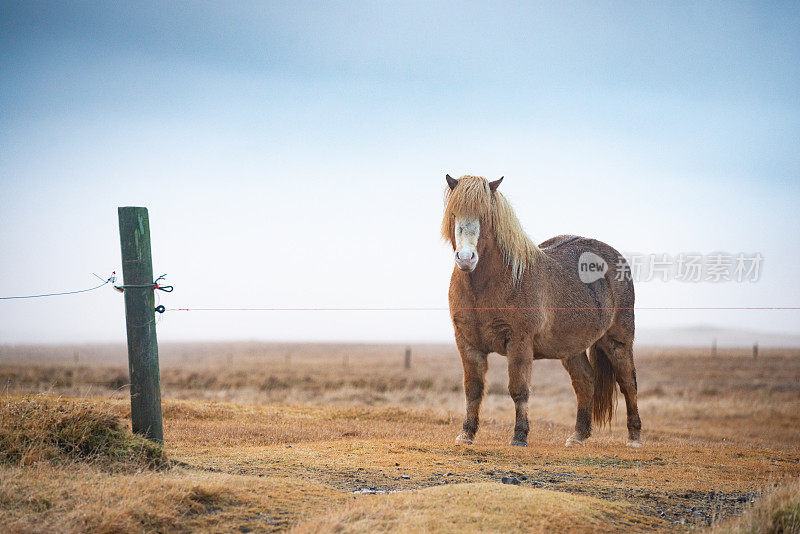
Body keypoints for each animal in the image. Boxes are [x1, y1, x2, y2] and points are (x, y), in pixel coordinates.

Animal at [440, 175, 640, 448]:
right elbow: (473, 389)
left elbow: (518, 389)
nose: (466, 258)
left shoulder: (519, 342)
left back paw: (634, 437)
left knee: (628, 383)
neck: (485, 287)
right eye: (454, 214)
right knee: (585, 381)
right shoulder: (467, 343)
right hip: (571, 348)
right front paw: (466, 434)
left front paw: (519, 436)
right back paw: (578, 436)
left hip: (618, 341)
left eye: (486, 216)